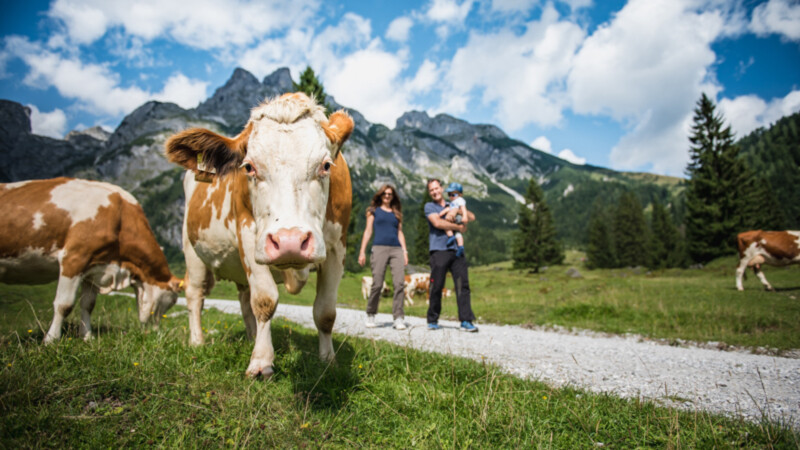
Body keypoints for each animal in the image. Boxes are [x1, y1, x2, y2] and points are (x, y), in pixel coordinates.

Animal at [0, 178, 182, 343]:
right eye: (173, 300)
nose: (155, 332)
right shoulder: (74, 258)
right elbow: (64, 304)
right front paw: (51, 339)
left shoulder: (94, 267)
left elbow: (87, 304)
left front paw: (87, 337)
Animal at [165, 92, 354, 377]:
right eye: (249, 167)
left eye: (326, 165)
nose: (289, 242)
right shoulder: (248, 234)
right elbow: (265, 300)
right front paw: (261, 362)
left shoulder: (336, 248)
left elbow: (325, 312)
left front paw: (328, 361)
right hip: (192, 249)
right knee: (195, 294)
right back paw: (198, 342)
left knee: (244, 300)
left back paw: (253, 337)